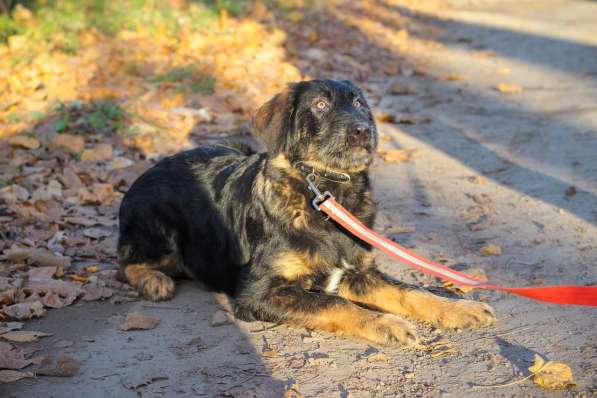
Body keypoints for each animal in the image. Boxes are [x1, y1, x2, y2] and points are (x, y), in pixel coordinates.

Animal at [116, 78, 494, 346]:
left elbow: (410, 292)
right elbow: (333, 304)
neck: (326, 195)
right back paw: (154, 281)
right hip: (159, 232)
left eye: (359, 103)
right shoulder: (258, 292)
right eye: (321, 105)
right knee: (125, 263)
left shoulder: (359, 273)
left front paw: (459, 308)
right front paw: (385, 323)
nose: (362, 130)